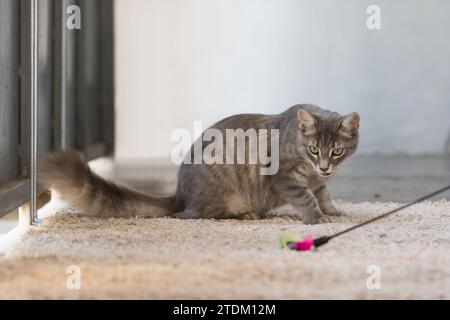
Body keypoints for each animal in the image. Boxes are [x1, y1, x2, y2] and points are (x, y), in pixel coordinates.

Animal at [40, 104, 360, 224]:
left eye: (337, 151)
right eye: (315, 148)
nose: (325, 167)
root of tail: (180, 195)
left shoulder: (317, 181)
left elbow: (323, 194)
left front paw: (333, 210)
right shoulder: (286, 179)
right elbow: (307, 198)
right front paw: (318, 218)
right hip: (221, 192)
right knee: (201, 214)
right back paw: (245, 215)